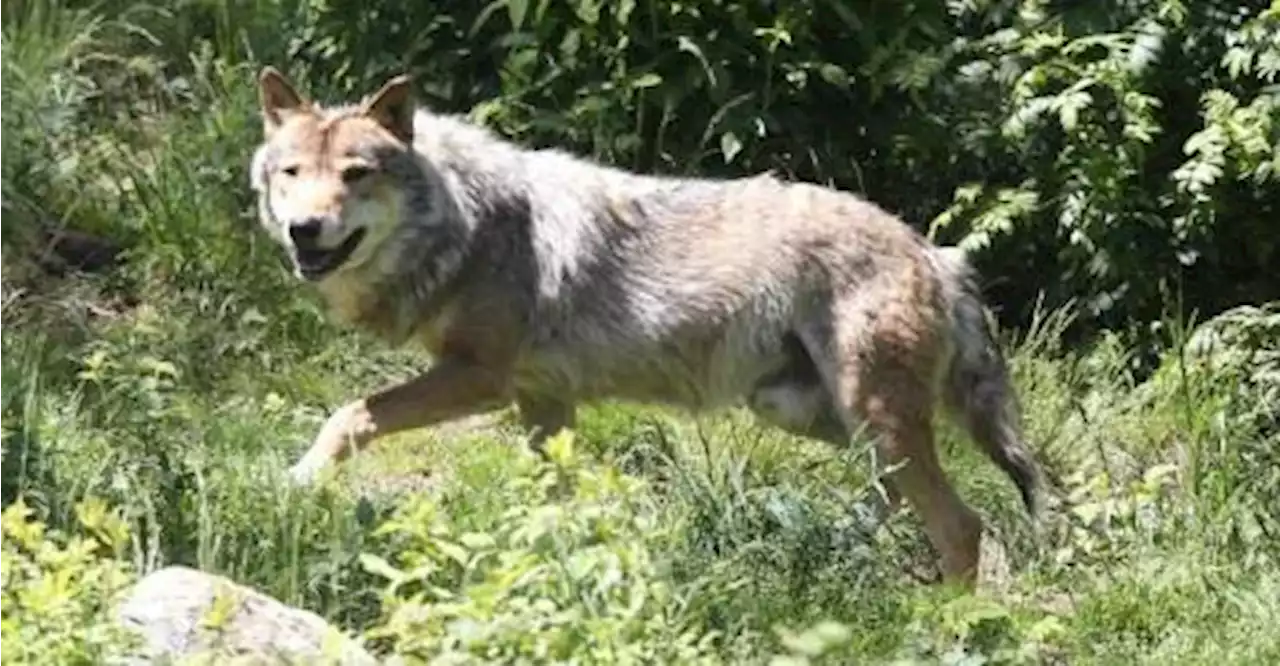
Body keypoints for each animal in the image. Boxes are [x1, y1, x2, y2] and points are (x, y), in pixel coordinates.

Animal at [247, 67, 1039, 586]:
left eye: (356, 174)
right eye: (291, 173)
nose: (304, 230)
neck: (463, 224)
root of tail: (938, 255)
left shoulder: (479, 377)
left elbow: (350, 413)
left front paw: (294, 481)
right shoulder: (543, 400)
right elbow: (551, 500)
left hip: (867, 416)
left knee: (962, 526)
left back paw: (946, 620)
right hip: (813, 413)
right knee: (898, 498)